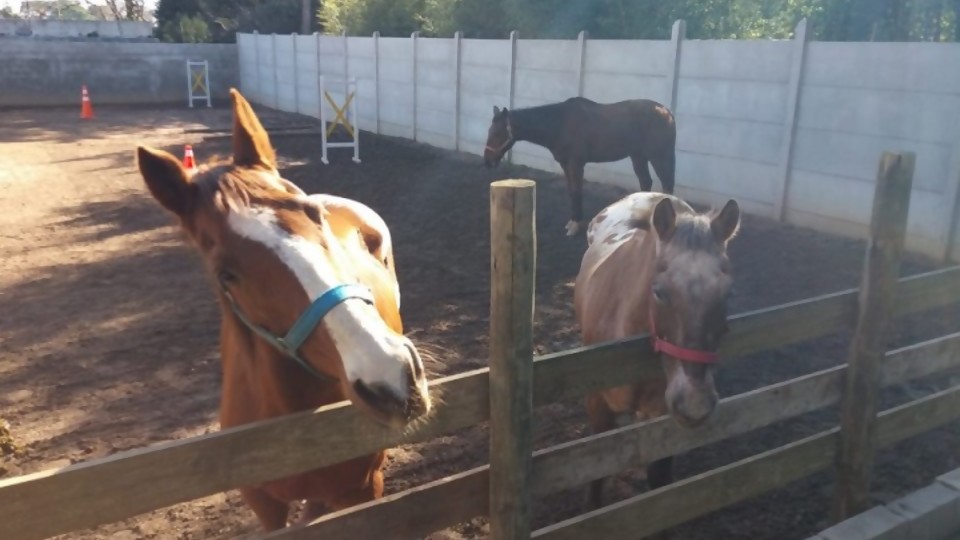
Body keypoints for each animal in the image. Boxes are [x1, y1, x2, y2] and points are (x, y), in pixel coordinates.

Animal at [484, 97, 680, 236]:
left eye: (498, 132)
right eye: (490, 131)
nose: (487, 162)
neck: (559, 124)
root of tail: (667, 112)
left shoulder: (576, 163)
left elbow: (577, 191)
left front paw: (575, 225)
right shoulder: (565, 164)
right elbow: (572, 191)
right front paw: (572, 222)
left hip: (659, 156)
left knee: (667, 184)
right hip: (638, 156)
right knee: (646, 182)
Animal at [572, 191, 740, 506]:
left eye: (727, 293)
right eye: (659, 292)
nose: (695, 404)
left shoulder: (662, 412)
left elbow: (659, 477)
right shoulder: (597, 407)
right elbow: (596, 477)